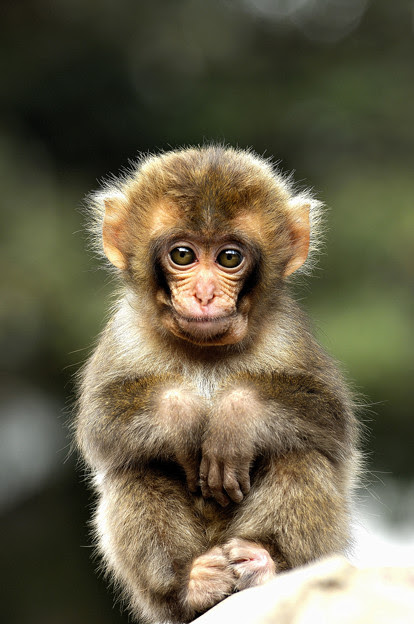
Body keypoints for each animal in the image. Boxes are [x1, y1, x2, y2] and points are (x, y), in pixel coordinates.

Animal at [75, 146, 360, 624]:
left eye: (229, 258)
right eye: (183, 255)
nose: (206, 294)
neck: (205, 350)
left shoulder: (288, 331)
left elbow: (331, 420)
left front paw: (234, 417)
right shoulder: (124, 331)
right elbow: (99, 423)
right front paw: (184, 415)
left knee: (300, 453)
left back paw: (265, 560)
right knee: (135, 467)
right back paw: (188, 585)